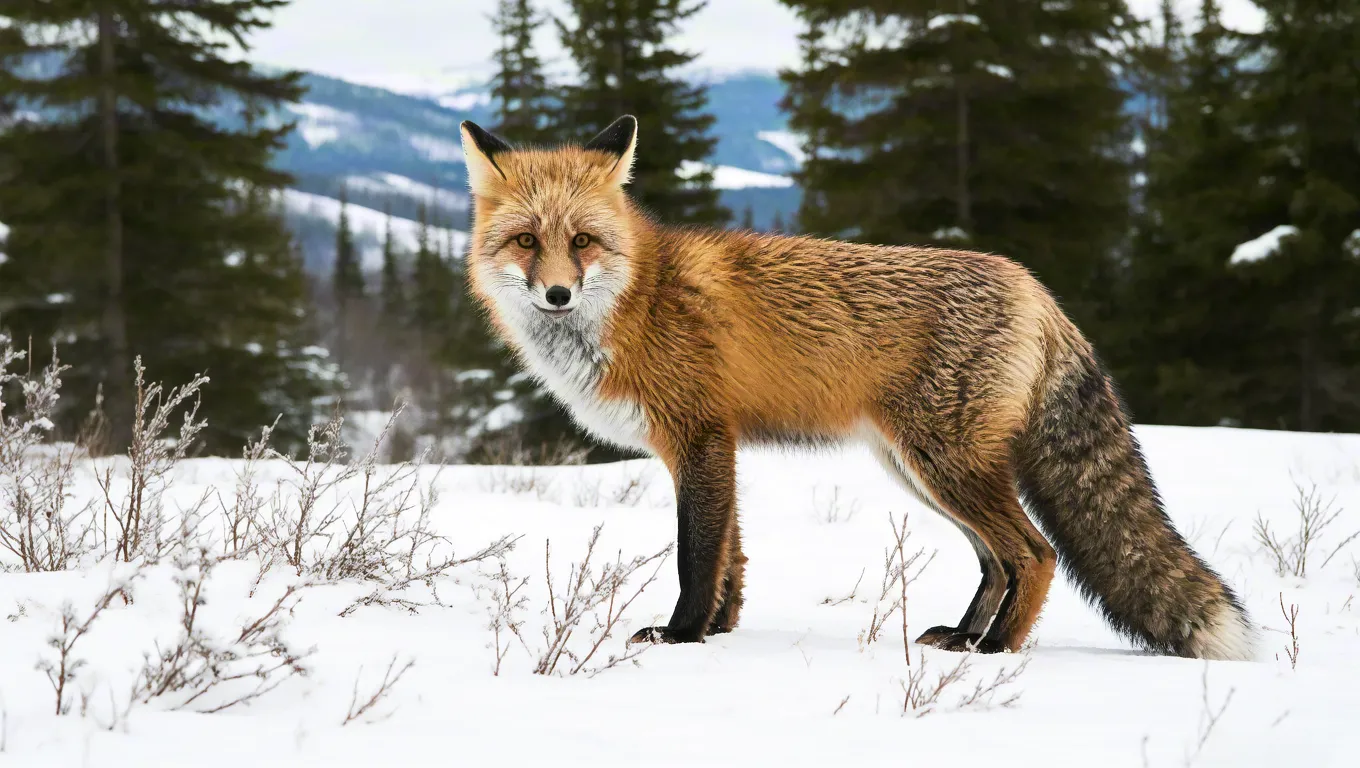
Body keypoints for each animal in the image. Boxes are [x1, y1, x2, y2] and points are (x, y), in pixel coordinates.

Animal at [457, 114, 1257, 660]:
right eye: (527, 241)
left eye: (583, 242)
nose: (558, 294)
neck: (637, 301)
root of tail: (1035, 288)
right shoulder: (713, 447)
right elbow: (731, 560)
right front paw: (721, 632)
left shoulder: (700, 438)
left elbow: (697, 556)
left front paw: (681, 637)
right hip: (919, 471)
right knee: (995, 561)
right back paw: (961, 634)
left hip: (946, 466)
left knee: (1034, 554)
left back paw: (994, 651)